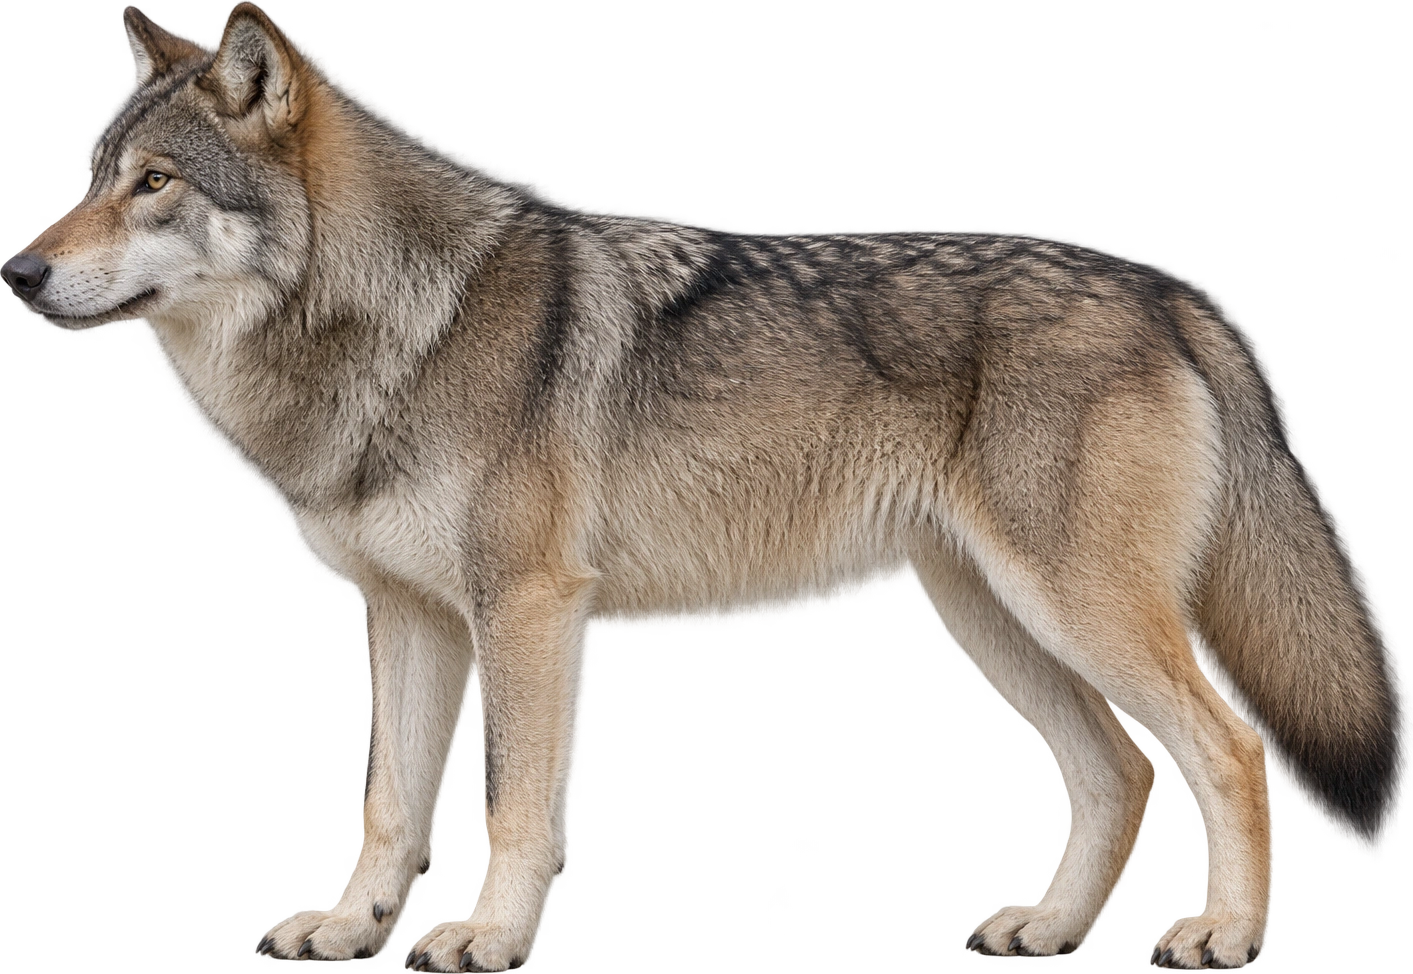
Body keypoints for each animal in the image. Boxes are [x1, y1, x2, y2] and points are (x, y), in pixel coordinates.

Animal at [3, 5, 1396, 971]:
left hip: (1072, 610)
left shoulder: (523, 608)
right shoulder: (398, 619)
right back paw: (1044, 924)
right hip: (996, 620)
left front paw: (484, 934)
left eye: (155, 182)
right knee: (1118, 770)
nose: (19, 270)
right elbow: (389, 803)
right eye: (83, 175)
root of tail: (1165, 294)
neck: (398, 325)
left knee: (1227, 746)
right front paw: (346, 927)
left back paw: (1220, 930)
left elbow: (506, 798)